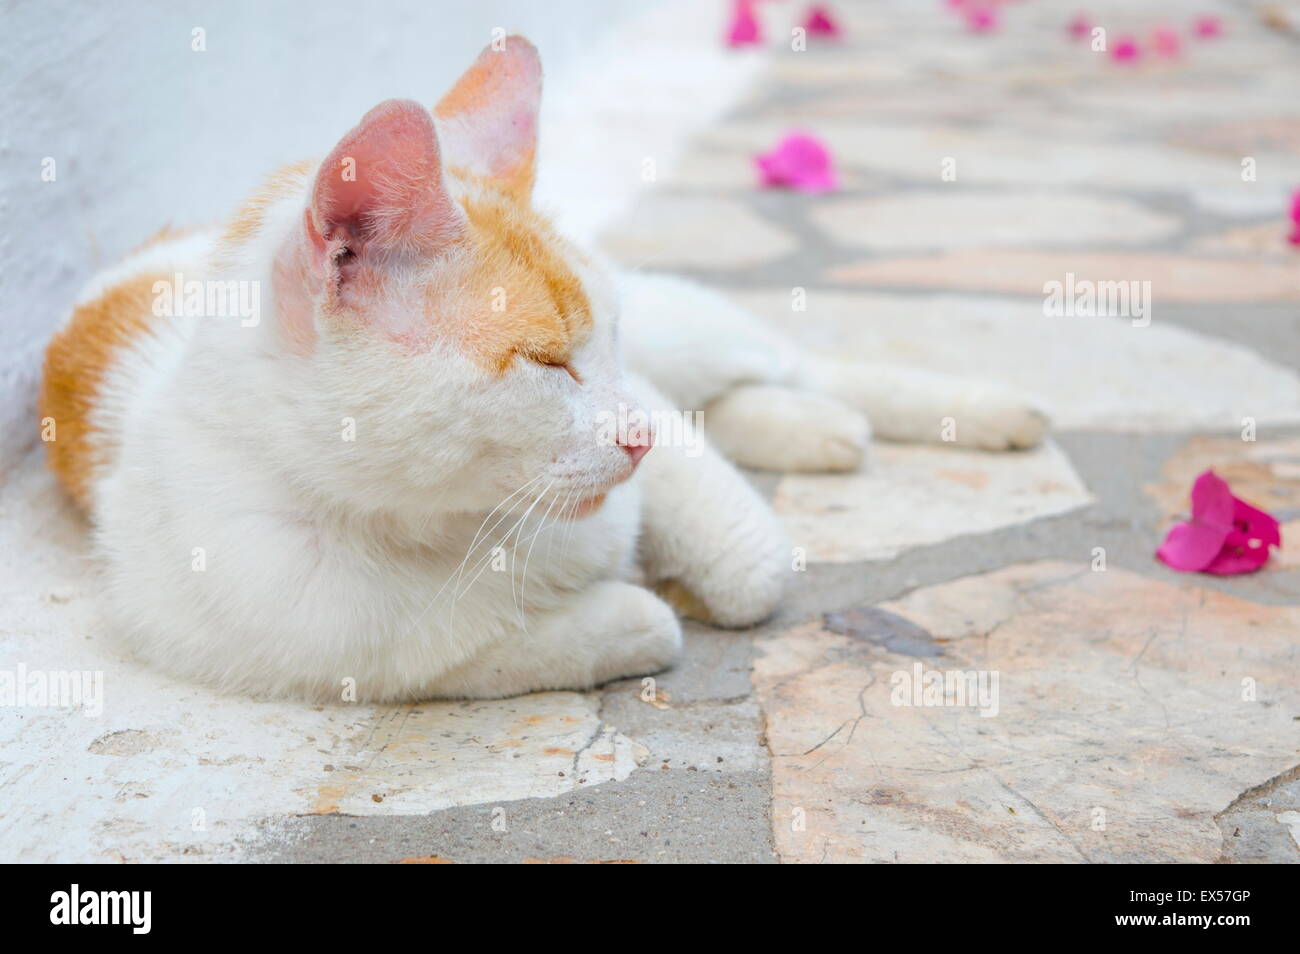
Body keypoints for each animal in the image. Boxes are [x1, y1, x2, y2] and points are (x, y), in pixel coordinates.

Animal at [40, 35, 1045, 701]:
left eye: (605, 344)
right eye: (547, 362)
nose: (635, 438)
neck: (448, 522)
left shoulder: (655, 410)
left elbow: (746, 564)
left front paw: (707, 560)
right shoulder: (317, 643)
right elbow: (517, 645)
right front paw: (629, 612)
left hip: (694, 332)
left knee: (784, 363)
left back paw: (967, 411)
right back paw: (818, 432)